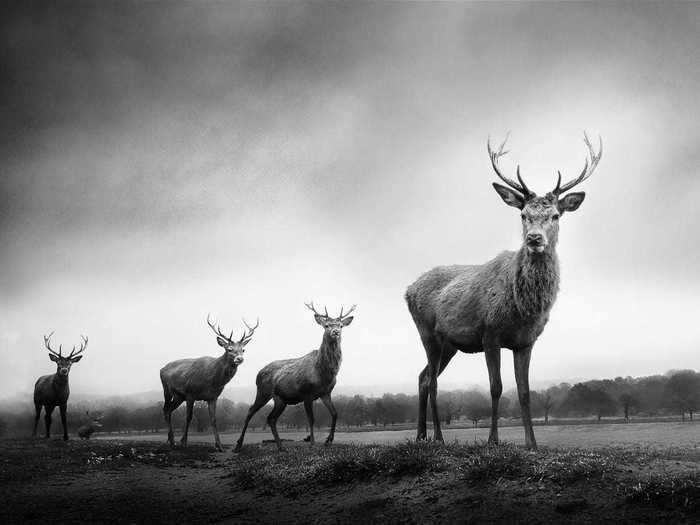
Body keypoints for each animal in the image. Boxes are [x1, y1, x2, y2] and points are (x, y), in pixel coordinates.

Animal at [159, 316, 258, 450]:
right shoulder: (190, 393)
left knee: (169, 410)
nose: (239, 359)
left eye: (243, 349)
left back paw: (171, 440)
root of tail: (162, 369)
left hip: (179, 396)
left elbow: (213, 419)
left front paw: (219, 446)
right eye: (229, 349)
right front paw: (184, 442)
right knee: (165, 409)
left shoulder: (213, 397)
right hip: (167, 390)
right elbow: (189, 417)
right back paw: (173, 441)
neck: (212, 382)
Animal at [235, 300, 356, 452]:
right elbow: (311, 419)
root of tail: (258, 373)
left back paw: (281, 446)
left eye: (340, 325)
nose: (336, 332)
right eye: (326, 325)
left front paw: (328, 441)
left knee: (271, 418)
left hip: (280, 399)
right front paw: (312, 443)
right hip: (263, 392)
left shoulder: (325, 393)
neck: (323, 373)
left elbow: (335, 413)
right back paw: (238, 445)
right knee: (251, 411)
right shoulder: (307, 393)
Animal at [404, 133, 600, 448]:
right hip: (427, 332)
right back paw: (438, 437)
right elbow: (495, 387)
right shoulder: (489, 332)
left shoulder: (526, 342)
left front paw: (532, 444)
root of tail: (408, 289)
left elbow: (524, 391)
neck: (522, 308)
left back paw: (421, 435)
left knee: (423, 377)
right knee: (432, 381)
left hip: (449, 344)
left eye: (556, 215)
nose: (534, 238)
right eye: (523, 214)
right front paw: (492, 440)